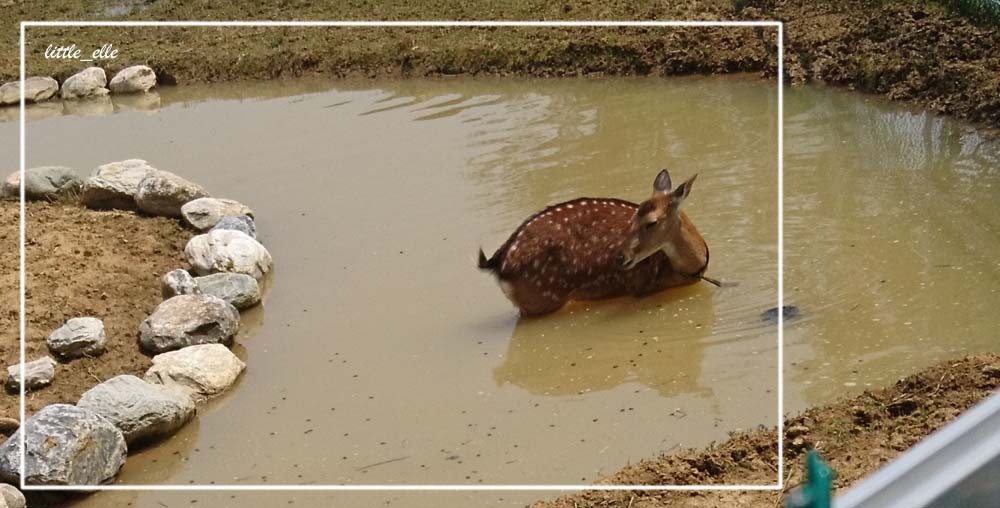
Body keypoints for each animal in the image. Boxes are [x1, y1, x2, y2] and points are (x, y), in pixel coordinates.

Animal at [478, 169, 720, 316]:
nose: (621, 257)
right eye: (633, 218)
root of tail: (499, 263)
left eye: (651, 222)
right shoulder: (639, 287)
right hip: (543, 298)